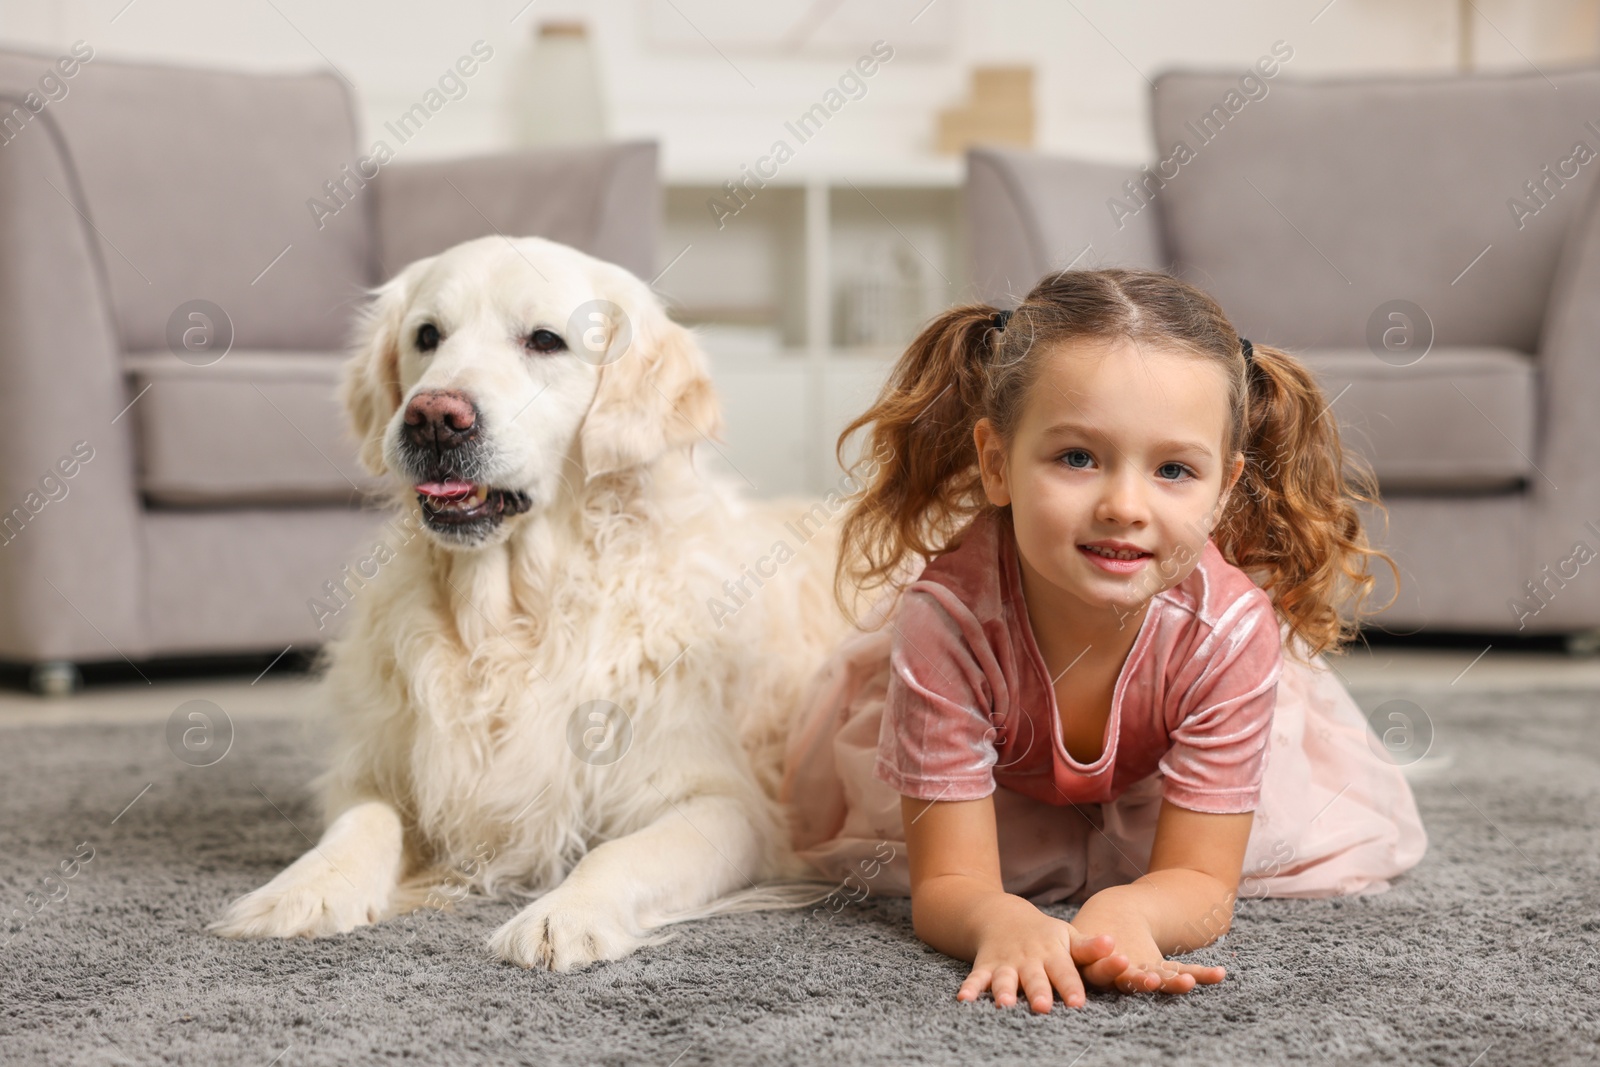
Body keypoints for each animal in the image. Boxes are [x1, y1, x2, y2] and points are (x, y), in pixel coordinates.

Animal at [211, 238, 870, 972]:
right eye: (427, 336)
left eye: (545, 340)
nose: (433, 417)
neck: (513, 615)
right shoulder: (382, 767)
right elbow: (364, 820)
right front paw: (303, 889)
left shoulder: (726, 802)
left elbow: (619, 852)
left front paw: (565, 914)